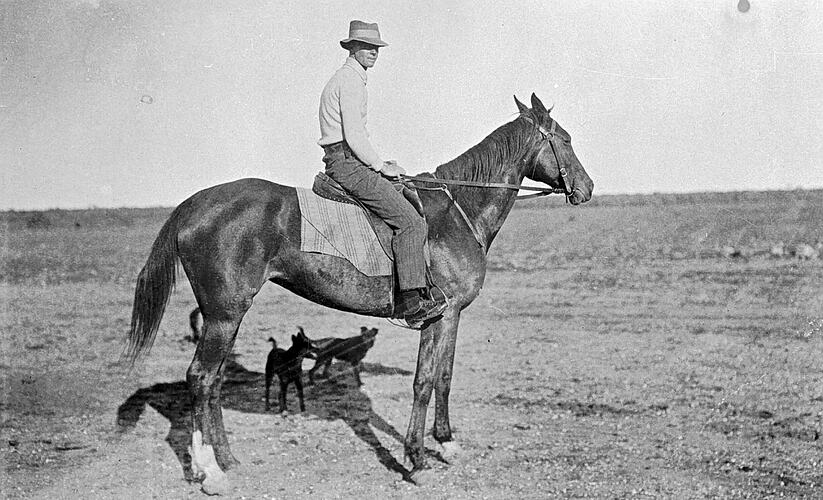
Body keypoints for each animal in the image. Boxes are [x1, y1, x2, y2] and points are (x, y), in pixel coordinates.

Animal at [124, 93, 592, 492]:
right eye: (566, 139)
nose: (586, 189)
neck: (458, 212)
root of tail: (193, 204)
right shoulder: (439, 315)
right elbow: (424, 381)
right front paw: (415, 460)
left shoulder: (453, 315)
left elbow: (444, 376)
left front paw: (447, 443)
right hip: (224, 314)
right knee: (200, 378)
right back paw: (210, 472)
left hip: (226, 315)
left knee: (215, 381)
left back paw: (228, 460)